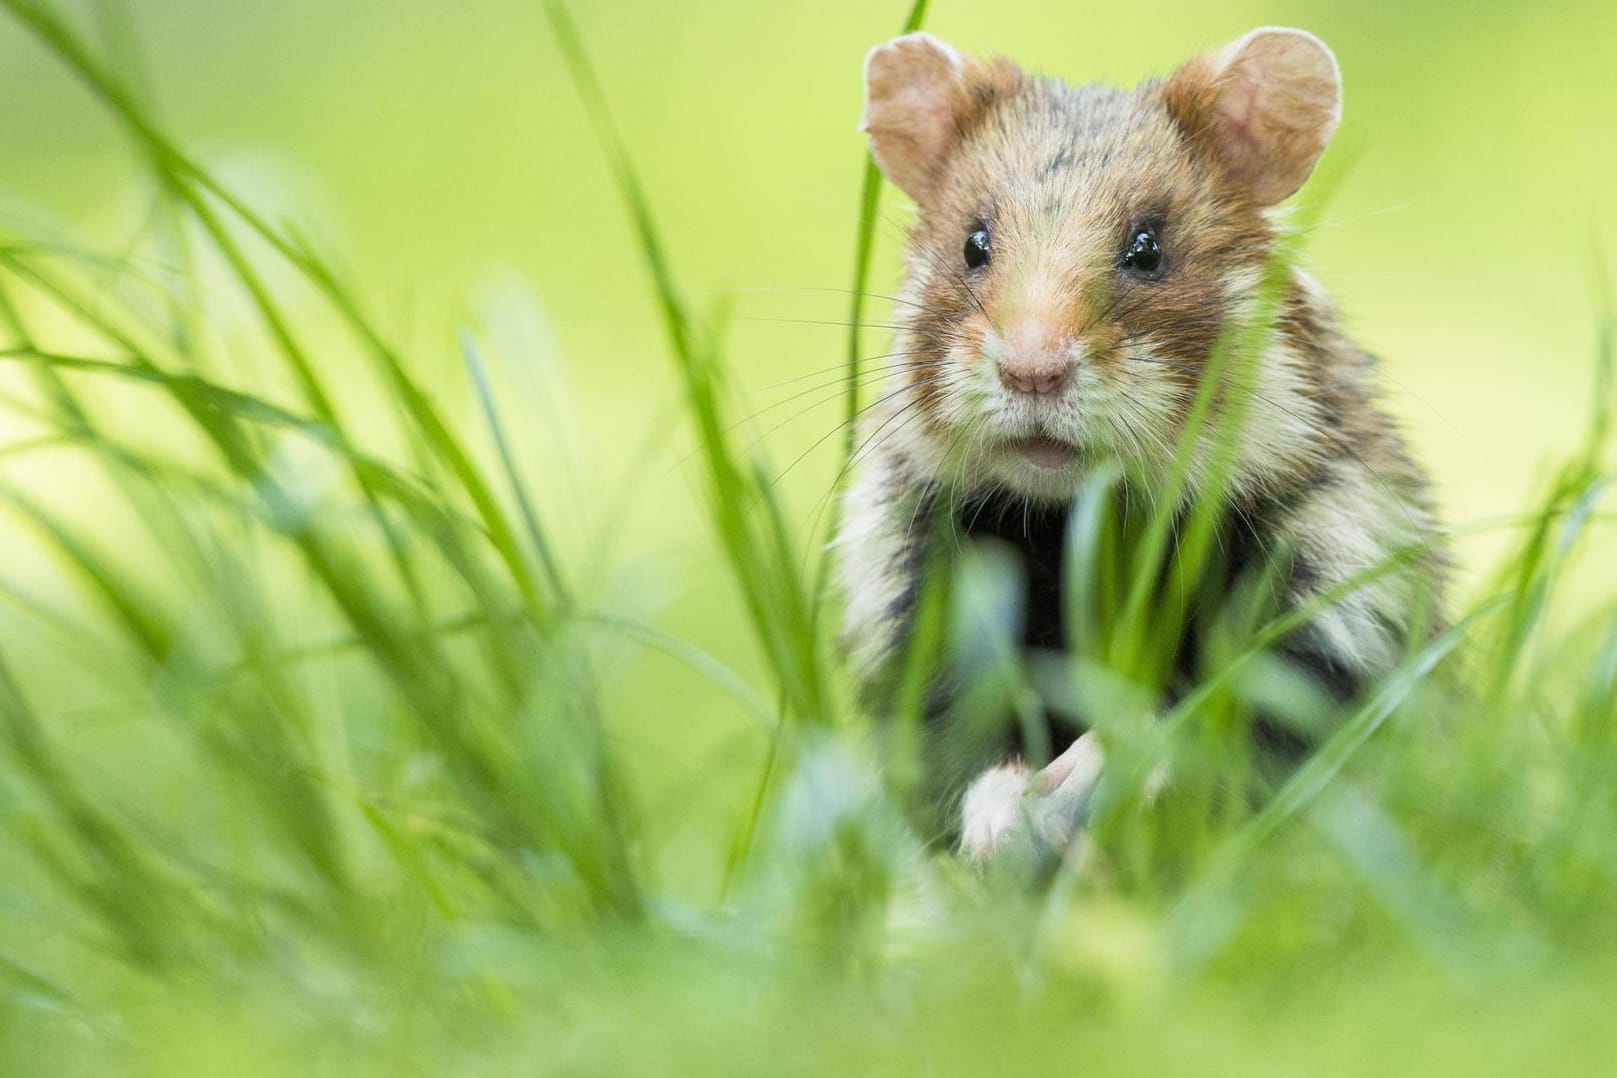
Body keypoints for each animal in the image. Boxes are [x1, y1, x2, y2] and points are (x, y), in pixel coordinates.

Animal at [834, 27, 1455, 859]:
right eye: (973, 243)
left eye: (1147, 248)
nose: (1031, 370)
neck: (1083, 525)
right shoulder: (922, 615)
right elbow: (958, 754)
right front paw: (1007, 821)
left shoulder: (1327, 610)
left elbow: (1216, 727)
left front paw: (1081, 777)